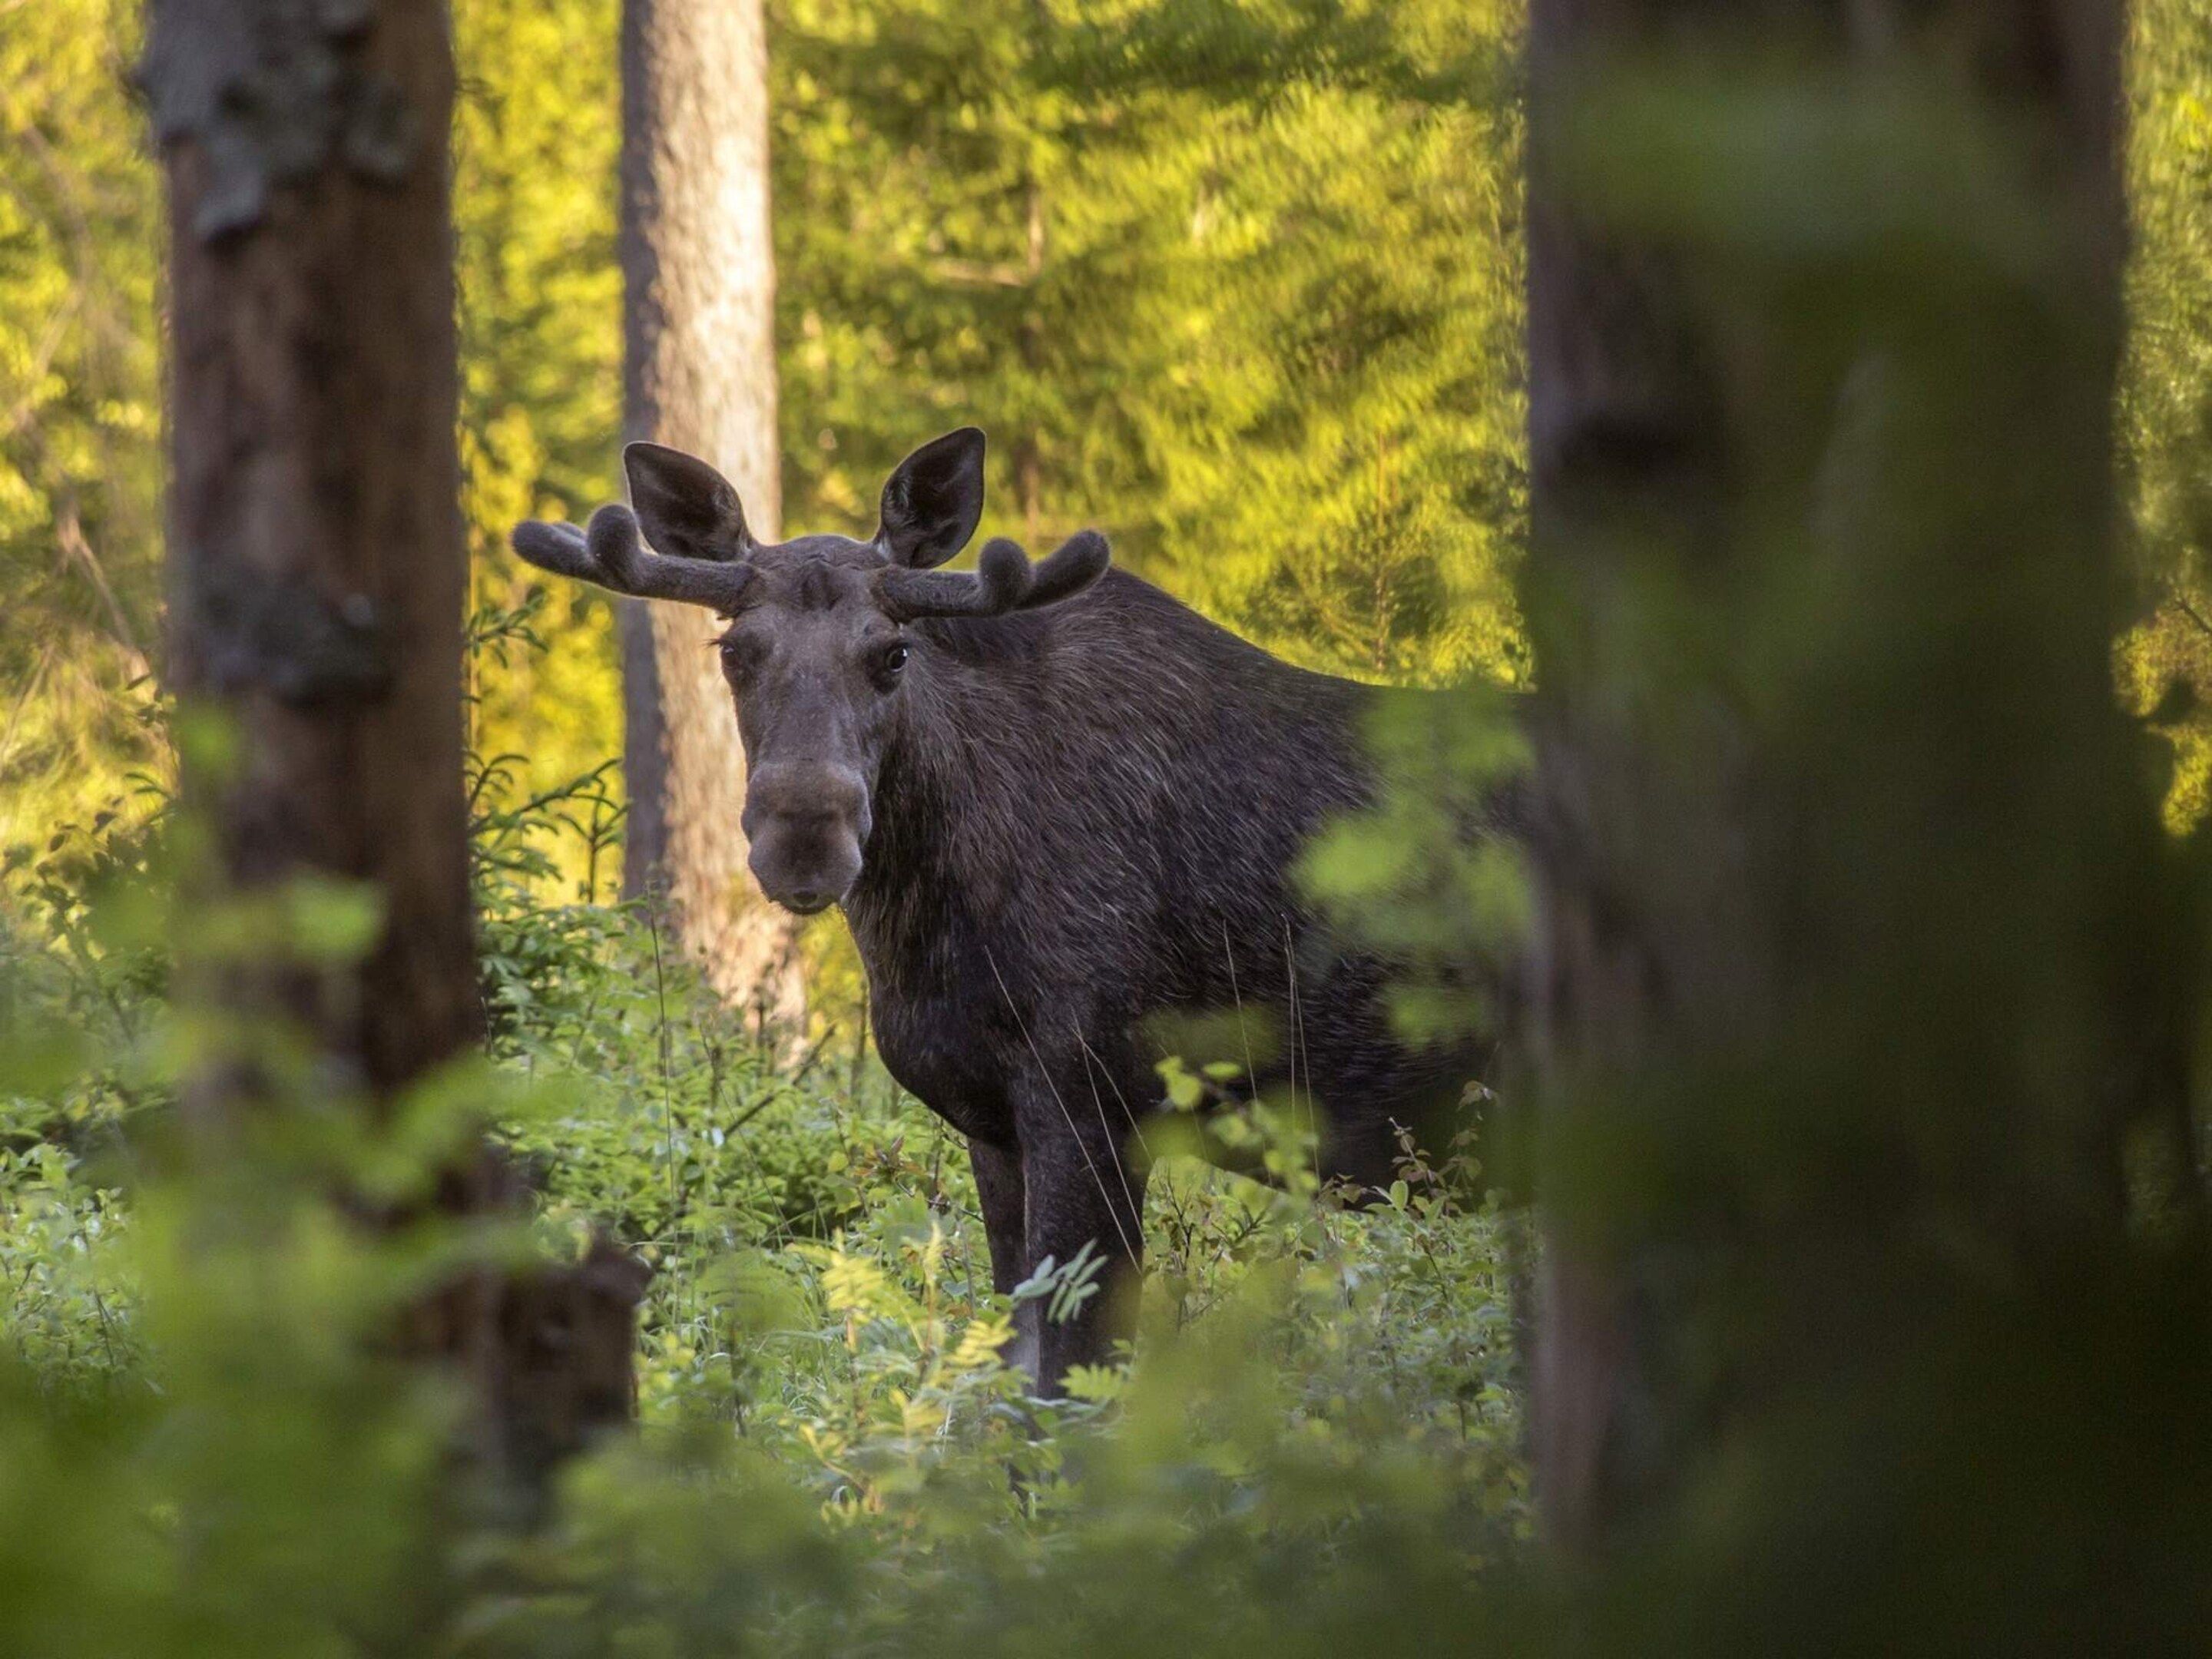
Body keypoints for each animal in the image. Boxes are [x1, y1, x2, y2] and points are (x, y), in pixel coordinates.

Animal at [512, 429, 1506, 1393]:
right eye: (732, 651)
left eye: (894, 653)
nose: (803, 838)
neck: (928, 932)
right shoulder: (993, 1119)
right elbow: (1011, 1360)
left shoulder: (1098, 1092)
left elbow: (1068, 1381)